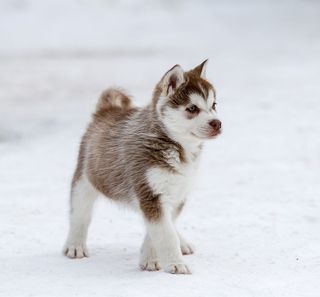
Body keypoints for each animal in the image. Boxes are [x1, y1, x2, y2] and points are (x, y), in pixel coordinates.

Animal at [63, 60, 221, 272]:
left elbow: (161, 229)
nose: (217, 123)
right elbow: (165, 234)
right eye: (192, 108)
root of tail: (106, 110)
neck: (179, 148)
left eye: (214, 105)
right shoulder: (150, 193)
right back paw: (75, 245)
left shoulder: (176, 194)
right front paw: (175, 264)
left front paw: (150, 257)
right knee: (80, 215)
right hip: (85, 182)